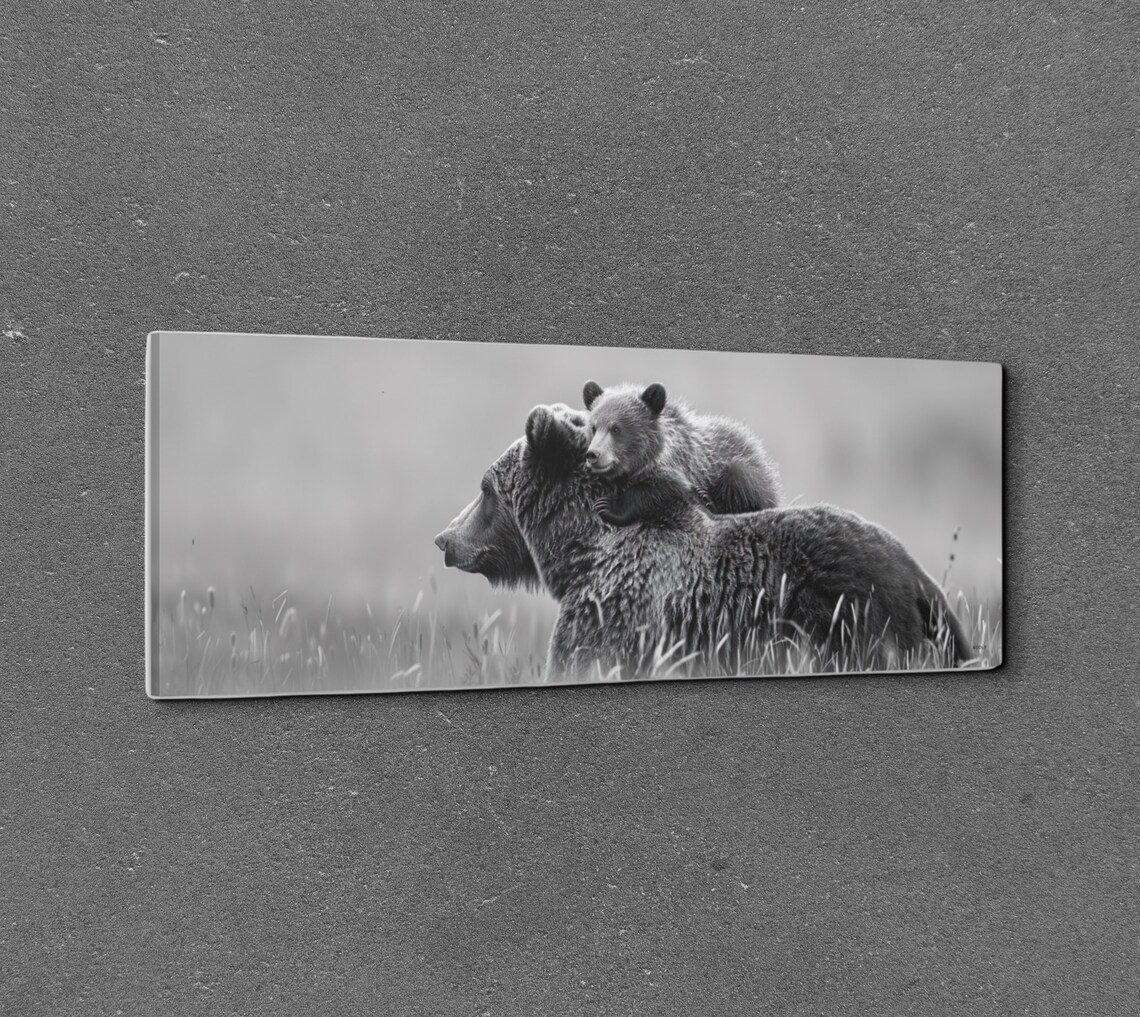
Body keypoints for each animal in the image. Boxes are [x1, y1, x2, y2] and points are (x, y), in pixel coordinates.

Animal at [435, 404, 972, 682]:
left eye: (485, 488)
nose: (444, 538)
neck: (583, 554)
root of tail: (917, 576)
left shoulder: (613, 612)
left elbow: (583, 656)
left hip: (851, 618)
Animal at [581, 380, 783, 527]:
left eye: (616, 428)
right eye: (594, 427)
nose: (594, 454)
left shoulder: (679, 467)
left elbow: (658, 490)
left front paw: (607, 505)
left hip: (745, 468)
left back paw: (706, 498)